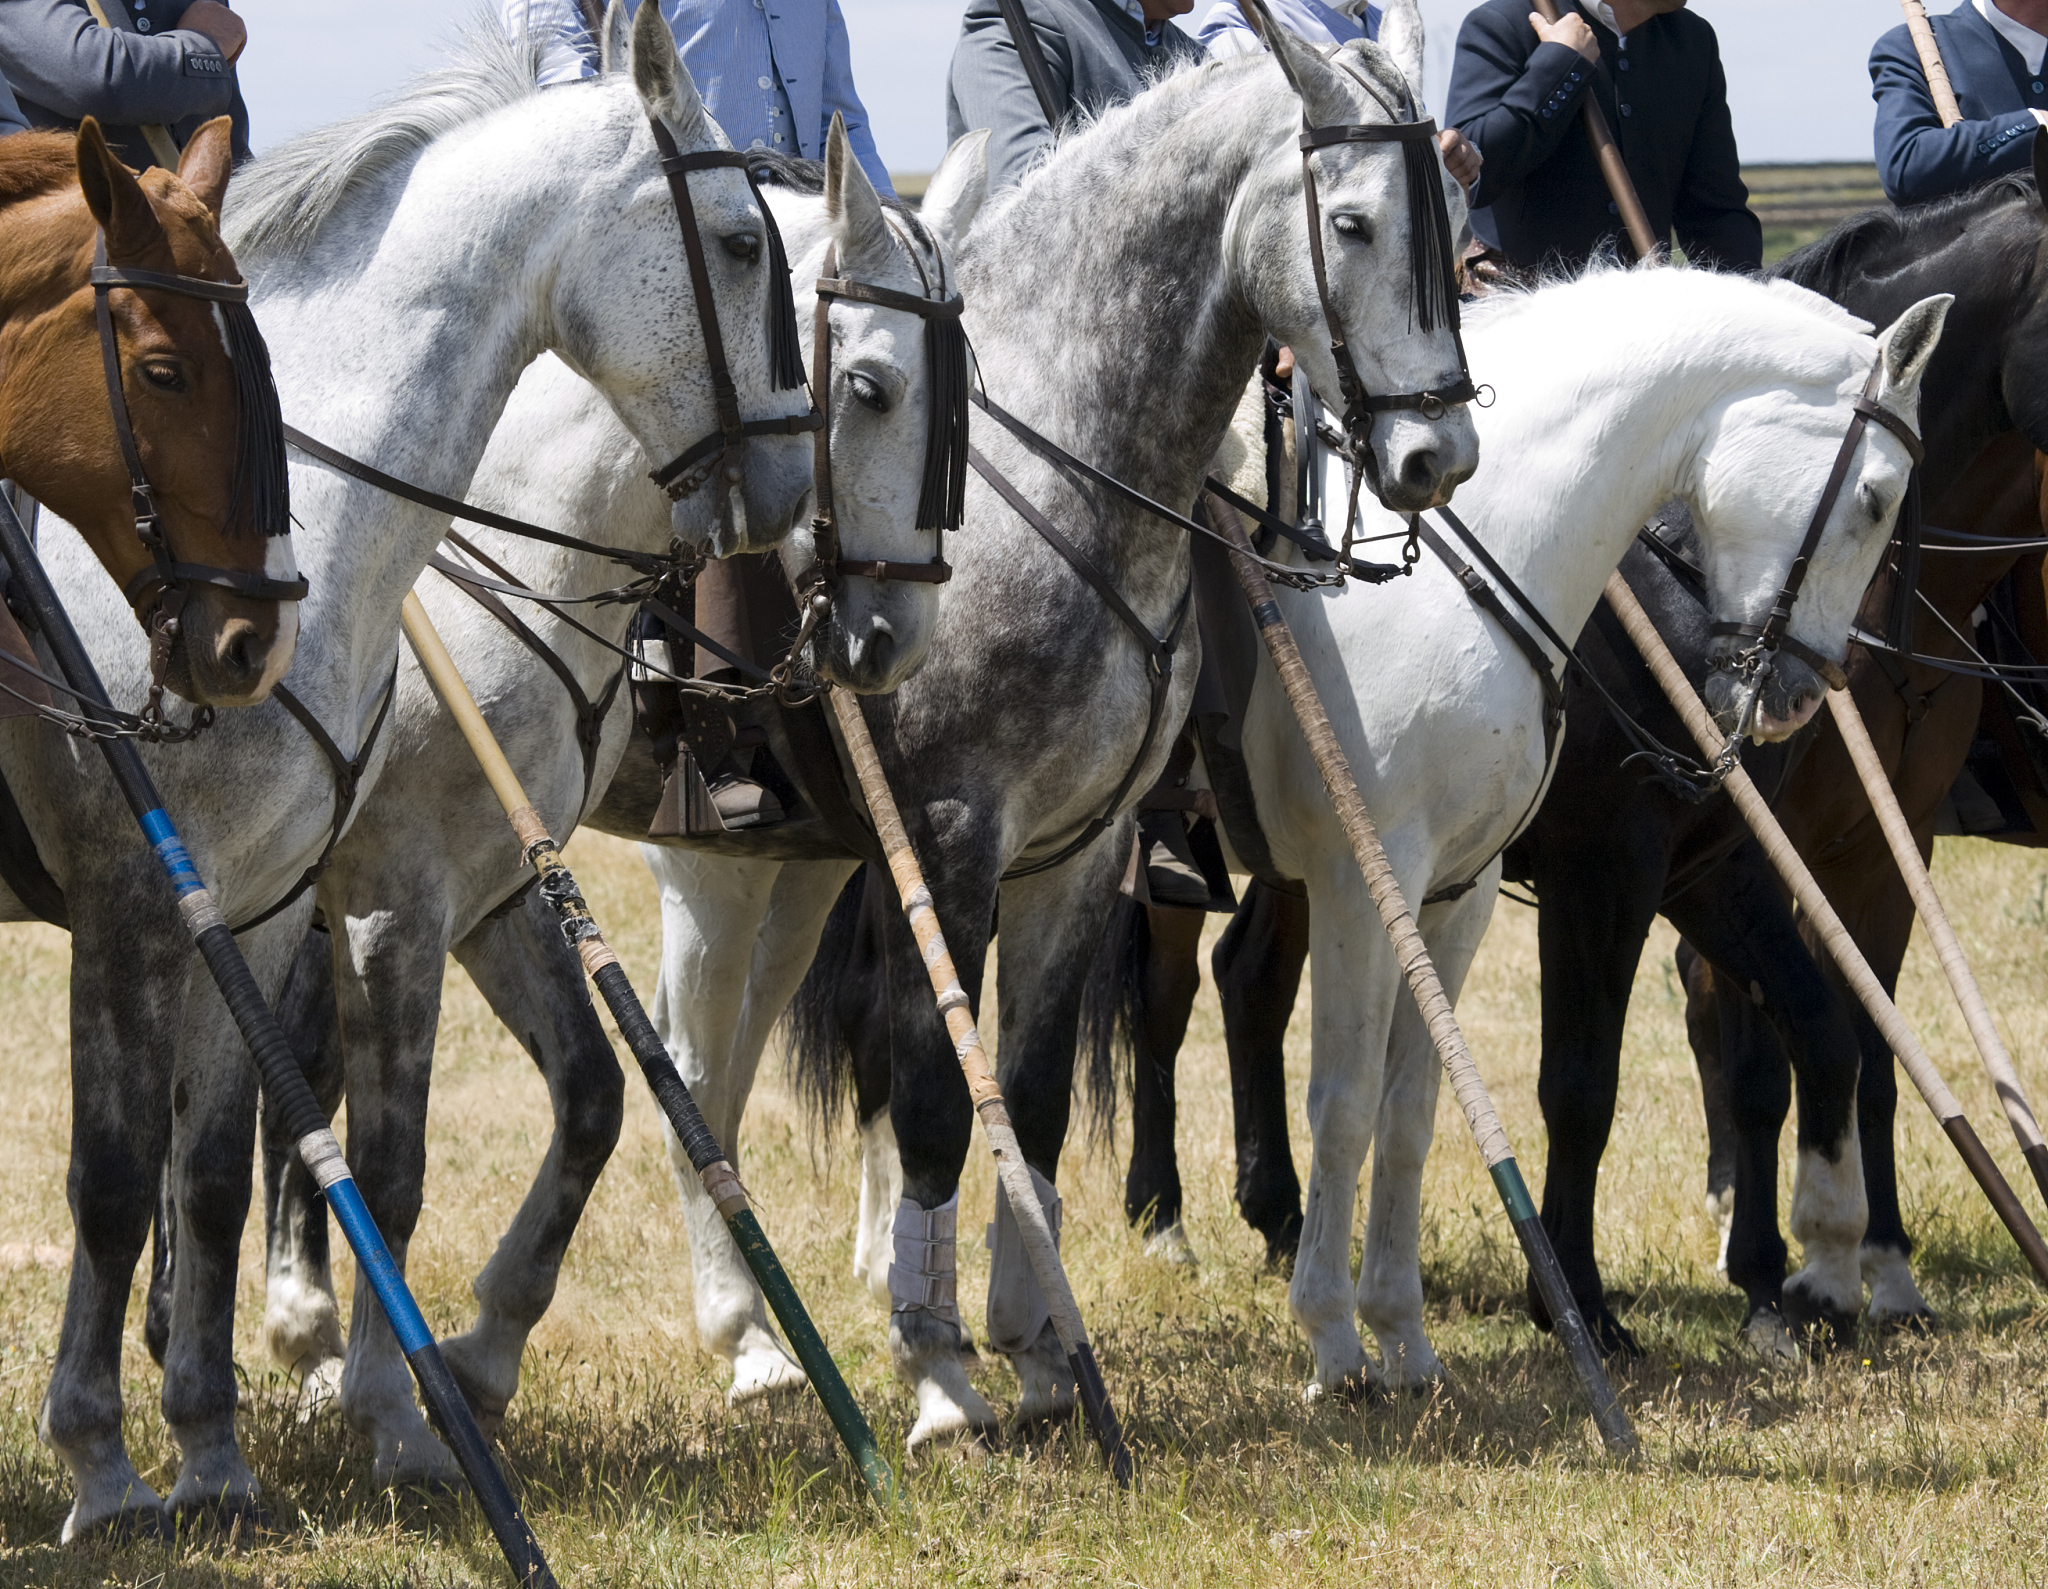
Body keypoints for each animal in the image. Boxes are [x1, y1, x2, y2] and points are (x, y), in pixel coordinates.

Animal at [221, 121, 982, 1489]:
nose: (890, 638)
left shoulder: (494, 888)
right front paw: (397, 1397)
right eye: (869, 389)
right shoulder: (391, 900)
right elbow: (391, 1149)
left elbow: (599, 1094)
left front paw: (477, 1357)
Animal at [636, 16, 1483, 1449]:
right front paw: (936, 1370)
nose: (1437, 455)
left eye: (1456, 217)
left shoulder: (1078, 852)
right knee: (692, 1055)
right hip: (713, 861)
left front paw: (1034, 1347)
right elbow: (936, 1096)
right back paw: (746, 1344)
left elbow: (1022, 1103)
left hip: (798, 868)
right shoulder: (950, 842)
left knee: (733, 1064)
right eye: (1354, 222)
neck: (1052, 480)